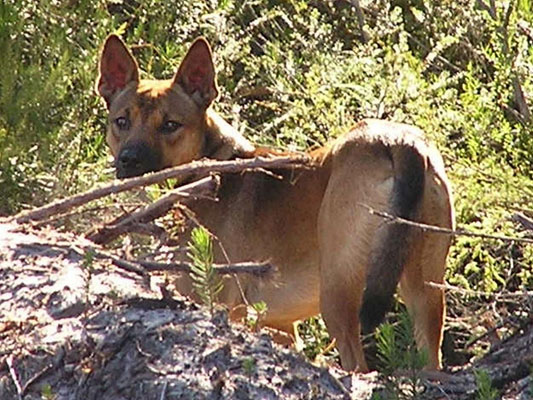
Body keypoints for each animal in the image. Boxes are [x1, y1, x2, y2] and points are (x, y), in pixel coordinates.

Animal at [96, 34, 454, 372]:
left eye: (170, 125)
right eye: (121, 121)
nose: (129, 160)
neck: (211, 162)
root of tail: (397, 141)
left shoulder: (211, 300)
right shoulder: (280, 326)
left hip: (338, 295)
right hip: (425, 291)